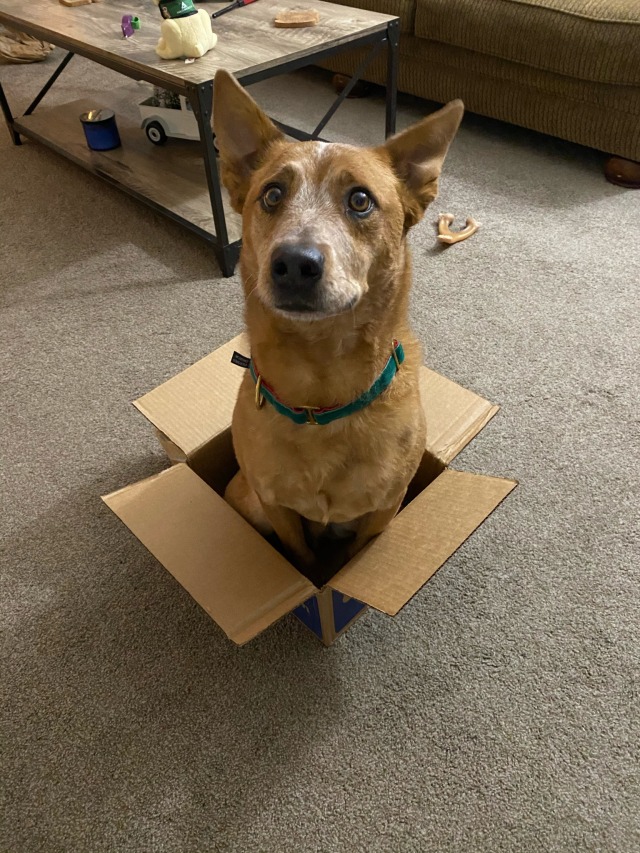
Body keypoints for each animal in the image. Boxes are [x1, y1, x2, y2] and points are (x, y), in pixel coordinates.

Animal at [212, 71, 462, 580]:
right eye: (272, 194)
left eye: (360, 200)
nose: (293, 263)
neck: (320, 390)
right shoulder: (274, 505)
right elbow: (302, 556)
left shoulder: (385, 510)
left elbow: (354, 554)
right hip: (244, 498)